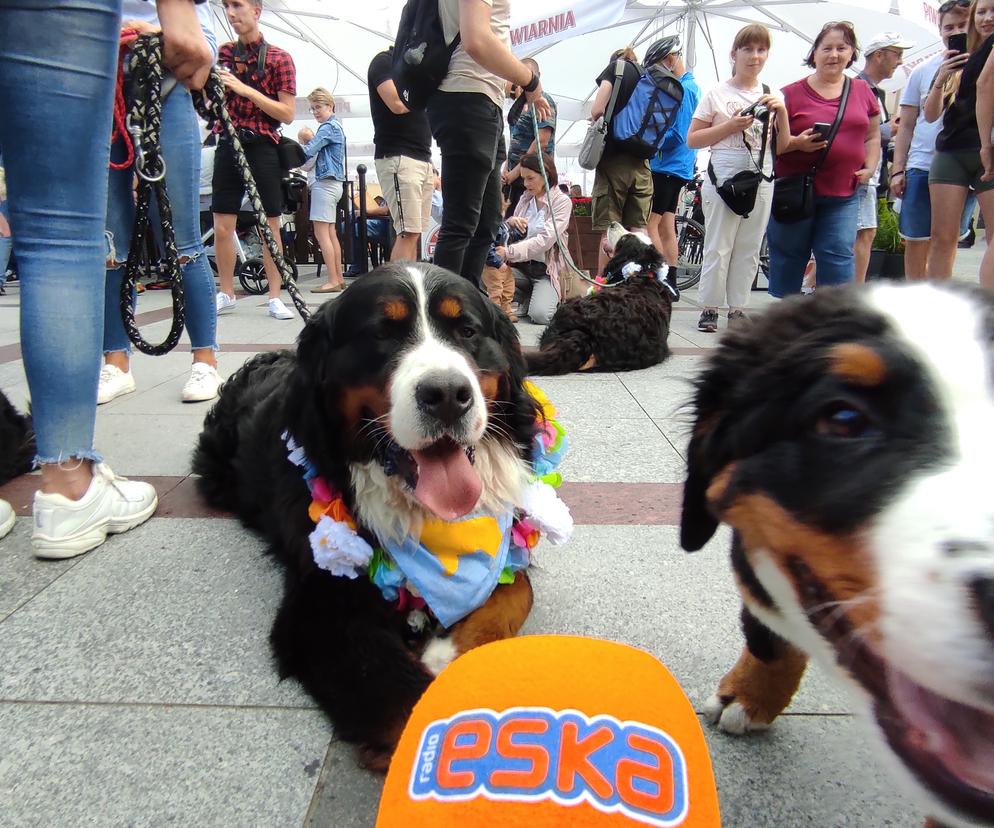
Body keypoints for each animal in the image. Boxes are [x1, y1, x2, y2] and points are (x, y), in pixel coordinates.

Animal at [194, 264, 560, 768]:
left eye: (466, 331)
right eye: (382, 334)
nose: (448, 394)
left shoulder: (503, 546)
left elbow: (516, 591)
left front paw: (445, 653)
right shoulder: (320, 606)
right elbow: (402, 700)